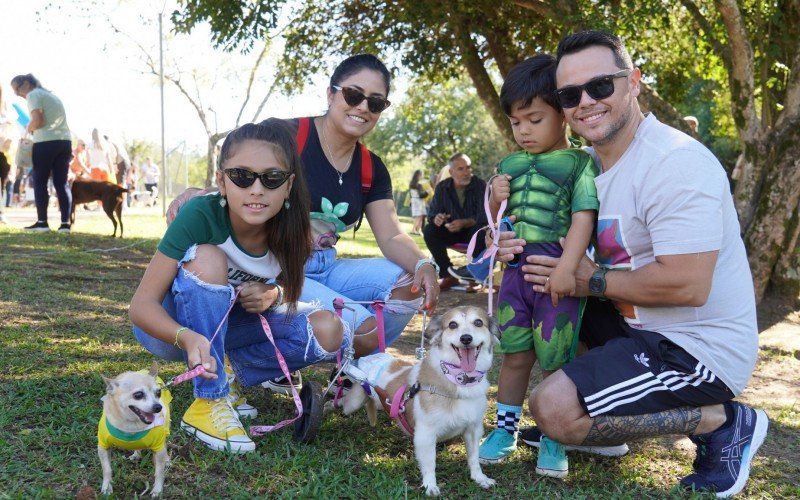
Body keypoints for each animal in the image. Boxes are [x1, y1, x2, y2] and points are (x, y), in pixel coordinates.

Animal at [97, 364, 172, 496]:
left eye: (158, 393)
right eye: (138, 395)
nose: (158, 407)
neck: (131, 425)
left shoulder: (158, 448)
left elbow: (159, 472)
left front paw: (157, 489)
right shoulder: (103, 447)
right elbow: (107, 470)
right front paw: (106, 487)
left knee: (165, 443)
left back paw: (167, 459)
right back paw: (136, 454)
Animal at [334, 304, 496, 496]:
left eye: (478, 322)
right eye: (452, 325)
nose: (465, 338)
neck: (458, 381)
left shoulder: (473, 430)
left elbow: (474, 458)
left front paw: (480, 478)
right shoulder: (425, 435)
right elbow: (430, 464)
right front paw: (430, 485)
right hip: (353, 402)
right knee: (343, 403)